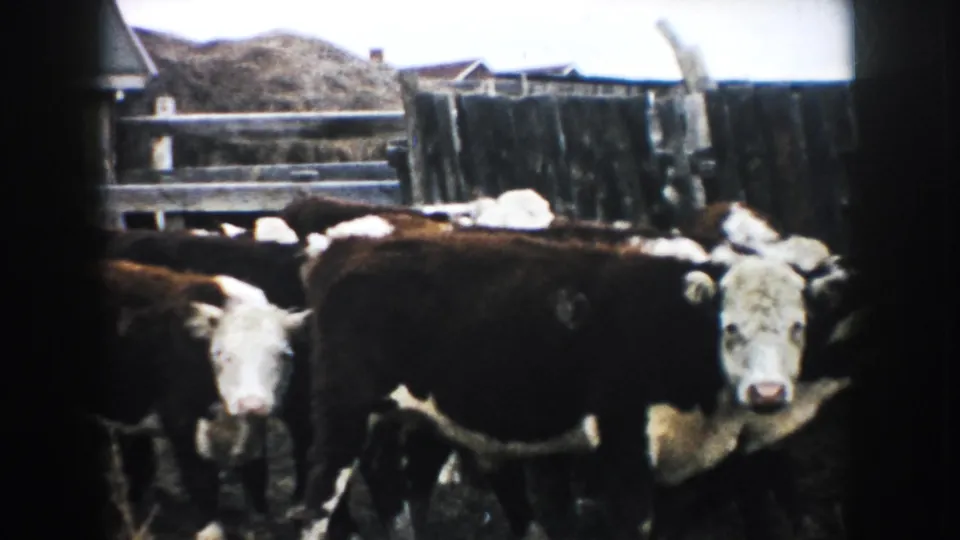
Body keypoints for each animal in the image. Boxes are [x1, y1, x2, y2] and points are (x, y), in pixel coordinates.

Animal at [100, 229, 318, 518]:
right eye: (221, 354)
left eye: (284, 354)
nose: (252, 404)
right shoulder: (180, 421)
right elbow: (202, 486)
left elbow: (256, 479)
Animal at [294, 228, 835, 540]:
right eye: (729, 328)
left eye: (798, 327)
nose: (768, 393)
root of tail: (350, 250)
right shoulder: (623, 442)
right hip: (344, 409)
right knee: (321, 494)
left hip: (419, 416)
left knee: (401, 482)